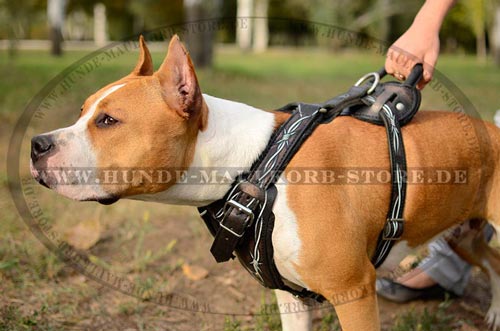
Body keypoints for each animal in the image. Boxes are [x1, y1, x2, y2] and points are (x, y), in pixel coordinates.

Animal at [29, 35, 500, 330]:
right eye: (84, 112)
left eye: (109, 121)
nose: (36, 144)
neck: (255, 165)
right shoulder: (290, 296)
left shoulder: (354, 291)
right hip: (462, 234)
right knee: (492, 261)